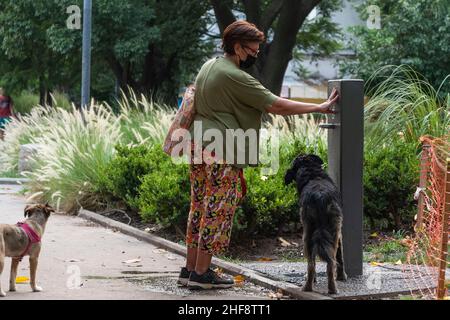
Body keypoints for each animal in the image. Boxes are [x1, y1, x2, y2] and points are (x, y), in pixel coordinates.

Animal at [284, 154, 348, 294]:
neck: (312, 174)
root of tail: (320, 197)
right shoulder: (339, 233)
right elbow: (340, 256)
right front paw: (342, 276)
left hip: (307, 234)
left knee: (311, 264)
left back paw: (308, 287)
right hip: (332, 231)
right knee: (330, 263)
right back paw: (332, 289)